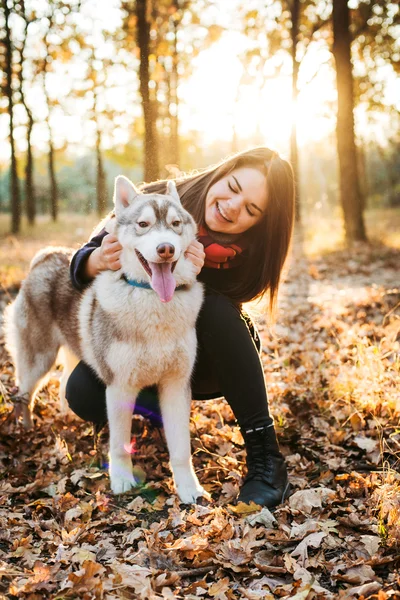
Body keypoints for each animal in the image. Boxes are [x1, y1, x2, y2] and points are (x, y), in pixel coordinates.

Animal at [4, 176, 208, 504]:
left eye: (175, 224)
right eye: (143, 224)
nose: (165, 249)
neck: (151, 301)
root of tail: (46, 255)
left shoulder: (176, 386)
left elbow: (181, 449)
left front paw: (189, 488)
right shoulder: (120, 387)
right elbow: (120, 444)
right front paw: (122, 480)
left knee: (62, 384)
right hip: (38, 361)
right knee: (24, 394)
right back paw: (26, 429)